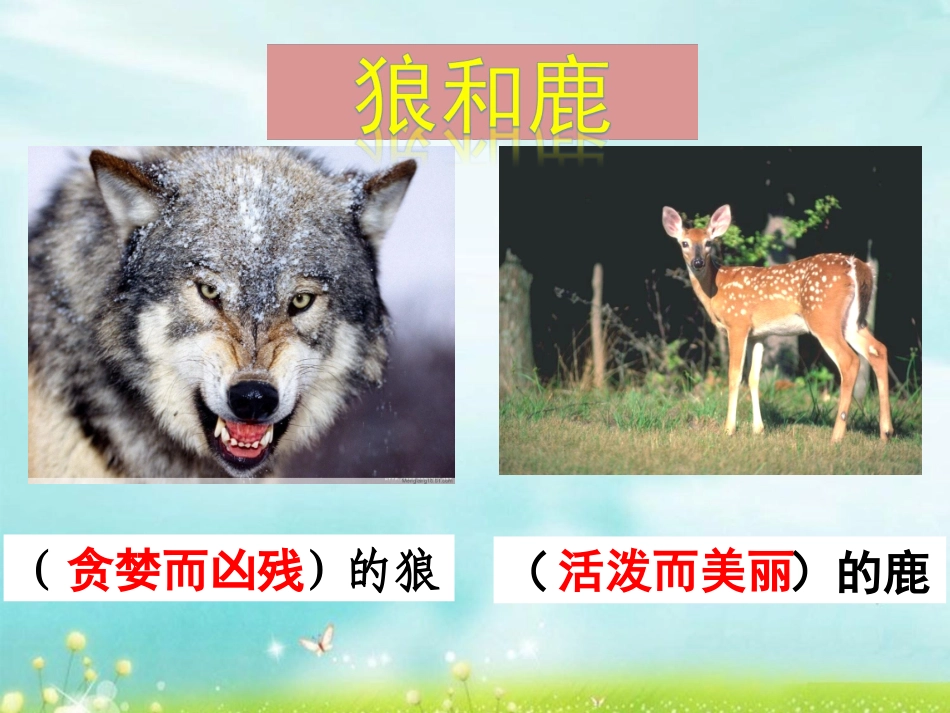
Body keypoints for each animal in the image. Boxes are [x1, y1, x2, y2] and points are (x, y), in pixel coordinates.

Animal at [661, 204, 893, 443]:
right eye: (684, 243)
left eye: (709, 242)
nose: (697, 263)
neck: (716, 288)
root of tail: (858, 266)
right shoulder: (758, 334)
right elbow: (754, 378)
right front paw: (758, 428)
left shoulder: (738, 323)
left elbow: (734, 375)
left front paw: (729, 429)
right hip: (853, 321)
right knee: (878, 349)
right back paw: (886, 432)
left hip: (823, 317)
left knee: (849, 360)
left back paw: (837, 435)